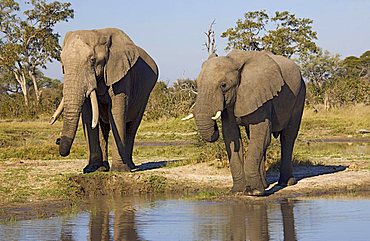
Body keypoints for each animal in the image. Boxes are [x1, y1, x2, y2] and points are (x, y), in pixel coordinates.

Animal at [48, 27, 158, 172]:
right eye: (62, 64)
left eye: (92, 60)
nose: (58, 140)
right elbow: (89, 116)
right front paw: (92, 169)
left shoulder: (121, 73)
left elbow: (117, 113)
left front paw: (119, 170)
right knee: (103, 129)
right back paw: (104, 167)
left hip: (145, 95)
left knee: (131, 128)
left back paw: (130, 166)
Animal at [188, 49, 306, 196]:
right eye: (197, 84)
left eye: (223, 85)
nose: (214, 128)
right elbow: (231, 136)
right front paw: (237, 191)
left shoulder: (260, 94)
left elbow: (261, 134)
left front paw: (254, 192)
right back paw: (265, 184)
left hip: (300, 94)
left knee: (288, 137)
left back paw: (286, 183)